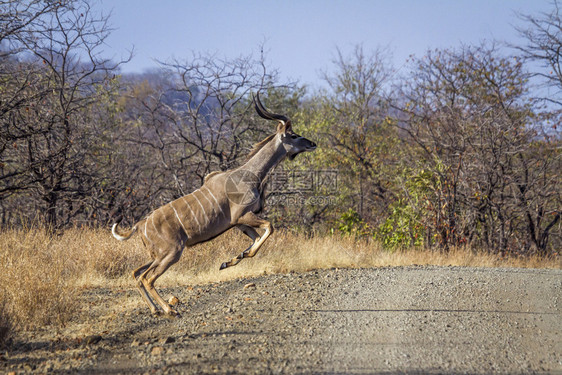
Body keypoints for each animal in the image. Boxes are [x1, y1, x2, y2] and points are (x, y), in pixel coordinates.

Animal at [109, 94, 316, 318]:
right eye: (293, 135)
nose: (313, 143)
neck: (249, 174)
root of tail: (140, 225)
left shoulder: (239, 223)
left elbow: (255, 238)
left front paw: (229, 261)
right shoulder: (243, 216)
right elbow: (268, 229)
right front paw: (237, 257)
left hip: (157, 255)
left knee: (136, 274)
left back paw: (155, 310)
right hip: (172, 252)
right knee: (147, 277)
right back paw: (169, 309)